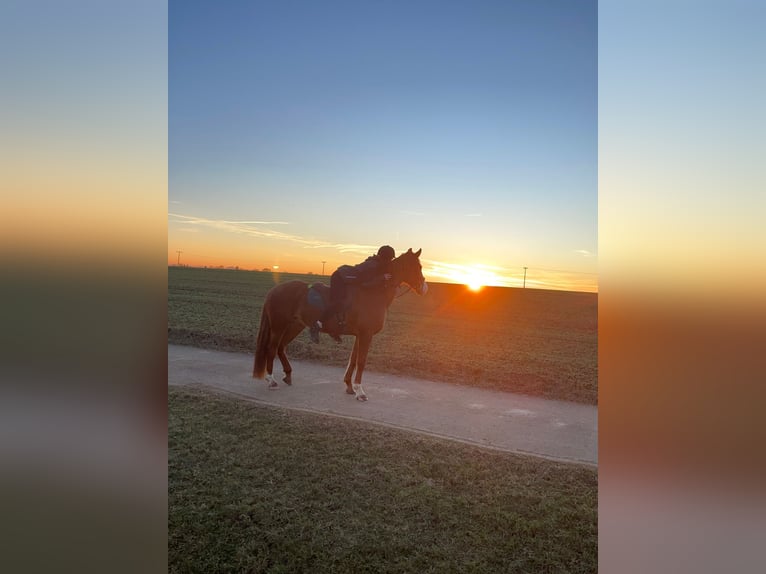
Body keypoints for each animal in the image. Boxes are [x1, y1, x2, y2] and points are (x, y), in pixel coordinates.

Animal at [253, 248, 428, 400]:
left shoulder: (360, 335)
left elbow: (353, 360)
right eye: (418, 266)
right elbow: (361, 362)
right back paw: (271, 380)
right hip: (278, 325)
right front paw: (360, 392)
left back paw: (288, 375)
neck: (374, 292)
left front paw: (350, 386)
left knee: (281, 347)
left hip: (295, 326)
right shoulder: (366, 334)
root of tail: (275, 290)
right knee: (272, 348)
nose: (424, 288)